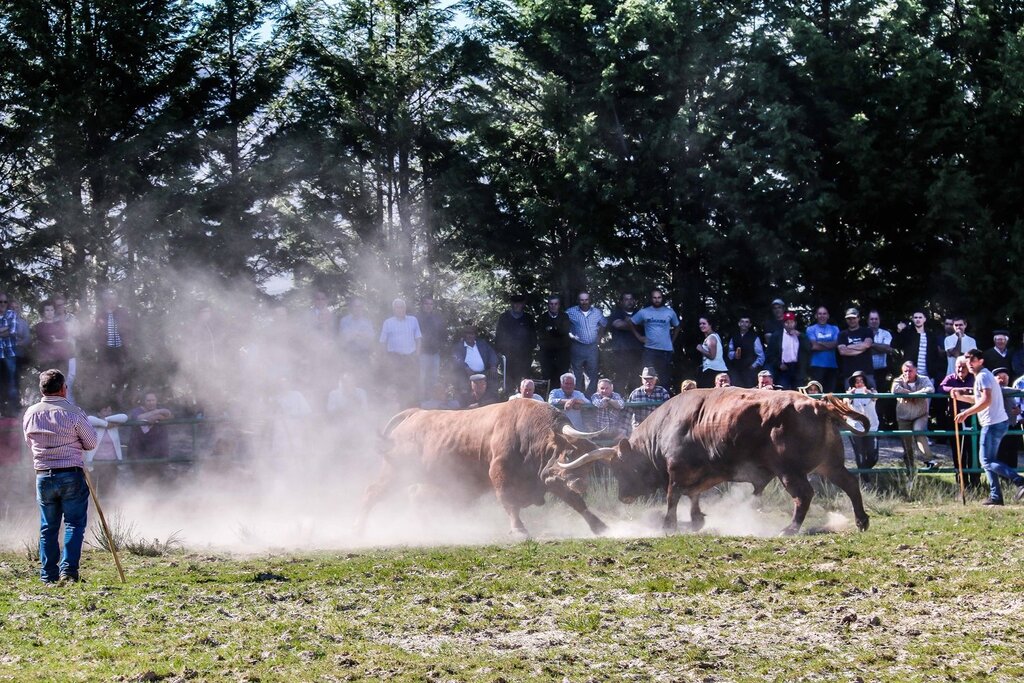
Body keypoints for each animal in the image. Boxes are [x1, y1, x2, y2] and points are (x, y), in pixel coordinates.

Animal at [354, 401, 606, 540]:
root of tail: (415, 414)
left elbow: (576, 502)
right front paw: (519, 530)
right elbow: (509, 502)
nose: (580, 484)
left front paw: (600, 526)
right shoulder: (500, 474)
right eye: (569, 454)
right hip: (394, 473)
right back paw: (359, 529)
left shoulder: (550, 479)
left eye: (590, 464)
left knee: (416, 497)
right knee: (371, 492)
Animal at [557, 389, 868, 532]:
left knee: (804, 494)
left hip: (788, 470)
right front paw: (696, 519)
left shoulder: (677, 469)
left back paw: (789, 529)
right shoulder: (708, 471)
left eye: (622, 467)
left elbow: (673, 494)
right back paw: (861, 521)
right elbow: (692, 493)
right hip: (829, 464)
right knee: (850, 483)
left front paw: (669, 524)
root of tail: (818, 405)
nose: (623, 497)